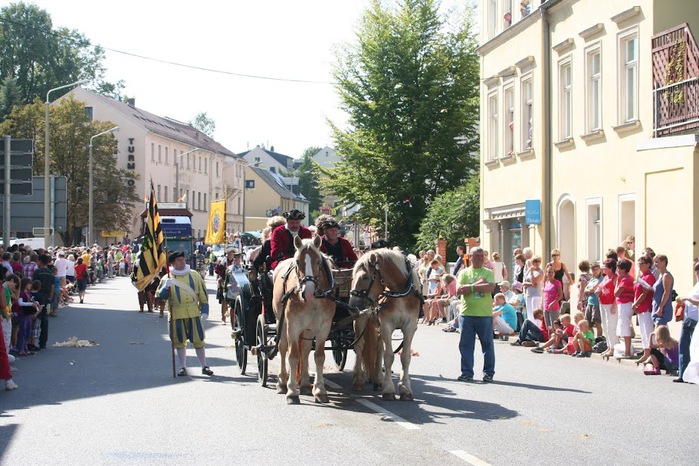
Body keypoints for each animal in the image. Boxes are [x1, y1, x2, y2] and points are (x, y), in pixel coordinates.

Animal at [272, 235, 334, 402]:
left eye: (318, 262)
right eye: (298, 262)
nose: (309, 292)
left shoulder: (323, 327)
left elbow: (319, 356)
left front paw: (319, 390)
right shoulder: (293, 326)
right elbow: (293, 355)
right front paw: (292, 391)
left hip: (308, 329)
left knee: (305, 351)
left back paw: (305, 383)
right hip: (281, 322)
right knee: (282, 348)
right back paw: (282, 382)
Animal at [350, 248, 422, 400]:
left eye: (365, 277)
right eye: (354, 277)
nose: (352, 306)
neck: (400, 293)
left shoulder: (410, 326)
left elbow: (405, 357)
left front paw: (405, 388)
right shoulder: (386, 325)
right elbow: (389, 357)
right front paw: (389, 389)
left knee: (379, 348)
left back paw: (378, 380)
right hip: (361, 320)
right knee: (360, 346)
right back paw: (358, 380)